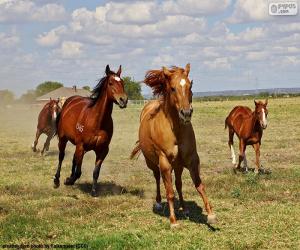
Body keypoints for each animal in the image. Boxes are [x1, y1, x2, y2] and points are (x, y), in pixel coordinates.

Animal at [53, 64, 127, 195]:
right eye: (111, 83)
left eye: (122, 82)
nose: (123, 100)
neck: (97, 122)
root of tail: (69, 101)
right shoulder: (81, 146)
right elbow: (78, 171)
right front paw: (68, 181)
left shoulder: (102, 150)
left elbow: (96, 171)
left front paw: (93, 191)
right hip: (63, 139)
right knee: (61, 156)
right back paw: (57, 180)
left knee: (74, 159)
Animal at [130, 64, 217, 227]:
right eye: (172, 88)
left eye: (190, 86)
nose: (186, 113)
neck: (175, 130)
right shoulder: (164, 161)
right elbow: (169, 192)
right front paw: (173, 221)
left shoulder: (192, 159)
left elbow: (199, 185)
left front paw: (211, 215)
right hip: (153, 163)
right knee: (158, 178)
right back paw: (159, 203)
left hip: (177, 165)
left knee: (178, 183)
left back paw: (184, 208)